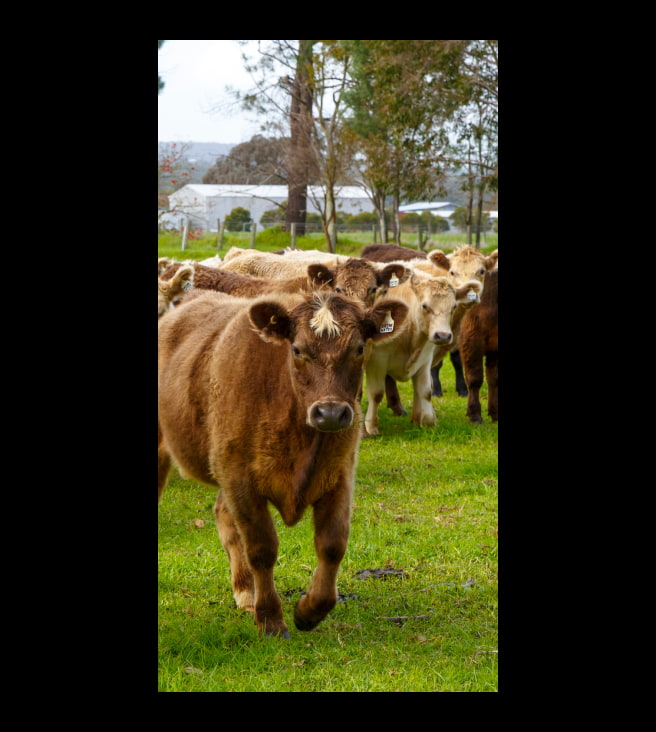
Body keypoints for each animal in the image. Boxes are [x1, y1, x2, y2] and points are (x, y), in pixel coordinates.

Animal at [158, 289, 409, 637]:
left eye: (359, 348)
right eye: (297, 349)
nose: (331, 413)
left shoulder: (340, 475)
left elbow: (332, 544)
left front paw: (309, 611)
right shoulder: (240, 479)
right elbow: (262, 549)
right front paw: (271, 619)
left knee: (224, 517)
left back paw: (245, 591)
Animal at [362, 271, 482, 436]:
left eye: (453, 306)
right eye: (425, 305)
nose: (443, 335)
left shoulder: (425, 359)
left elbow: (425, 390)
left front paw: (427, 421)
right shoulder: (377, 361)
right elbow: (376, 393)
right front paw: (371, 427)